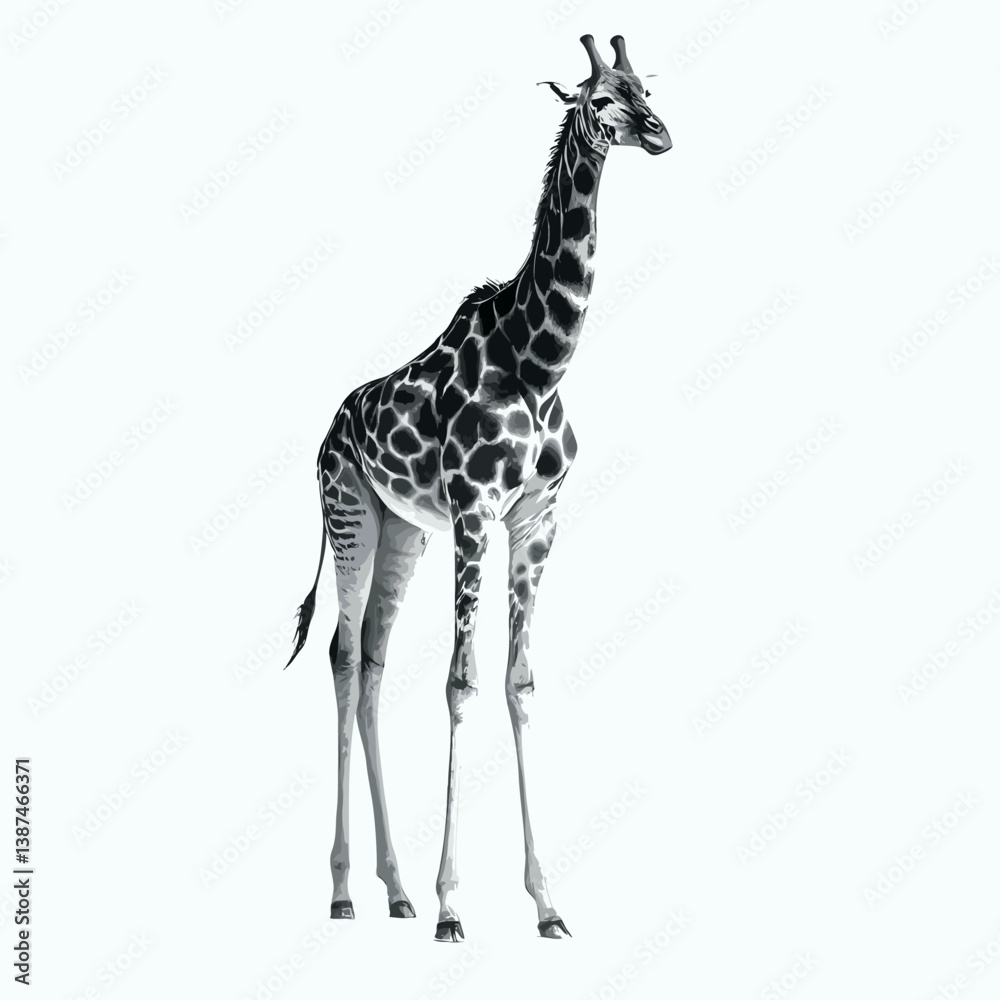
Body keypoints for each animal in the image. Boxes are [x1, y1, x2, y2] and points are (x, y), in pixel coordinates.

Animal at [286, 34, 671, 941]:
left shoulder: (535, 517)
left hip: (402, 531)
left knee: (375, 660)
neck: (538, 362)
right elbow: (460, 681)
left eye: (644, 86)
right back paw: (347, 892)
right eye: (598, 100)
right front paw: (453, 904)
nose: (661, 133)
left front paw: (546, 903)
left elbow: (517, 682)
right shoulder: (473, 510)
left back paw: (393, 889)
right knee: (343, 655)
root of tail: (324, 437)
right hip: (351, 514)